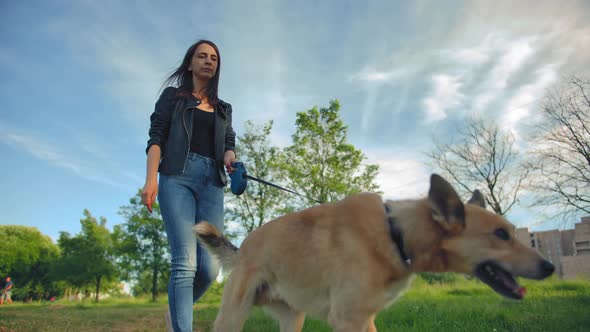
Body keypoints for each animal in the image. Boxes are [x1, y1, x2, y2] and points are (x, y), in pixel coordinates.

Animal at [193, 175, 556, 330]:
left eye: (511, 232)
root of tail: (243, 248)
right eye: (500, 235)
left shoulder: (365, 319)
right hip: (233, 317)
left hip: (292, 319)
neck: (396, 234)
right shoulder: (349, 319)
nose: (550, 267)